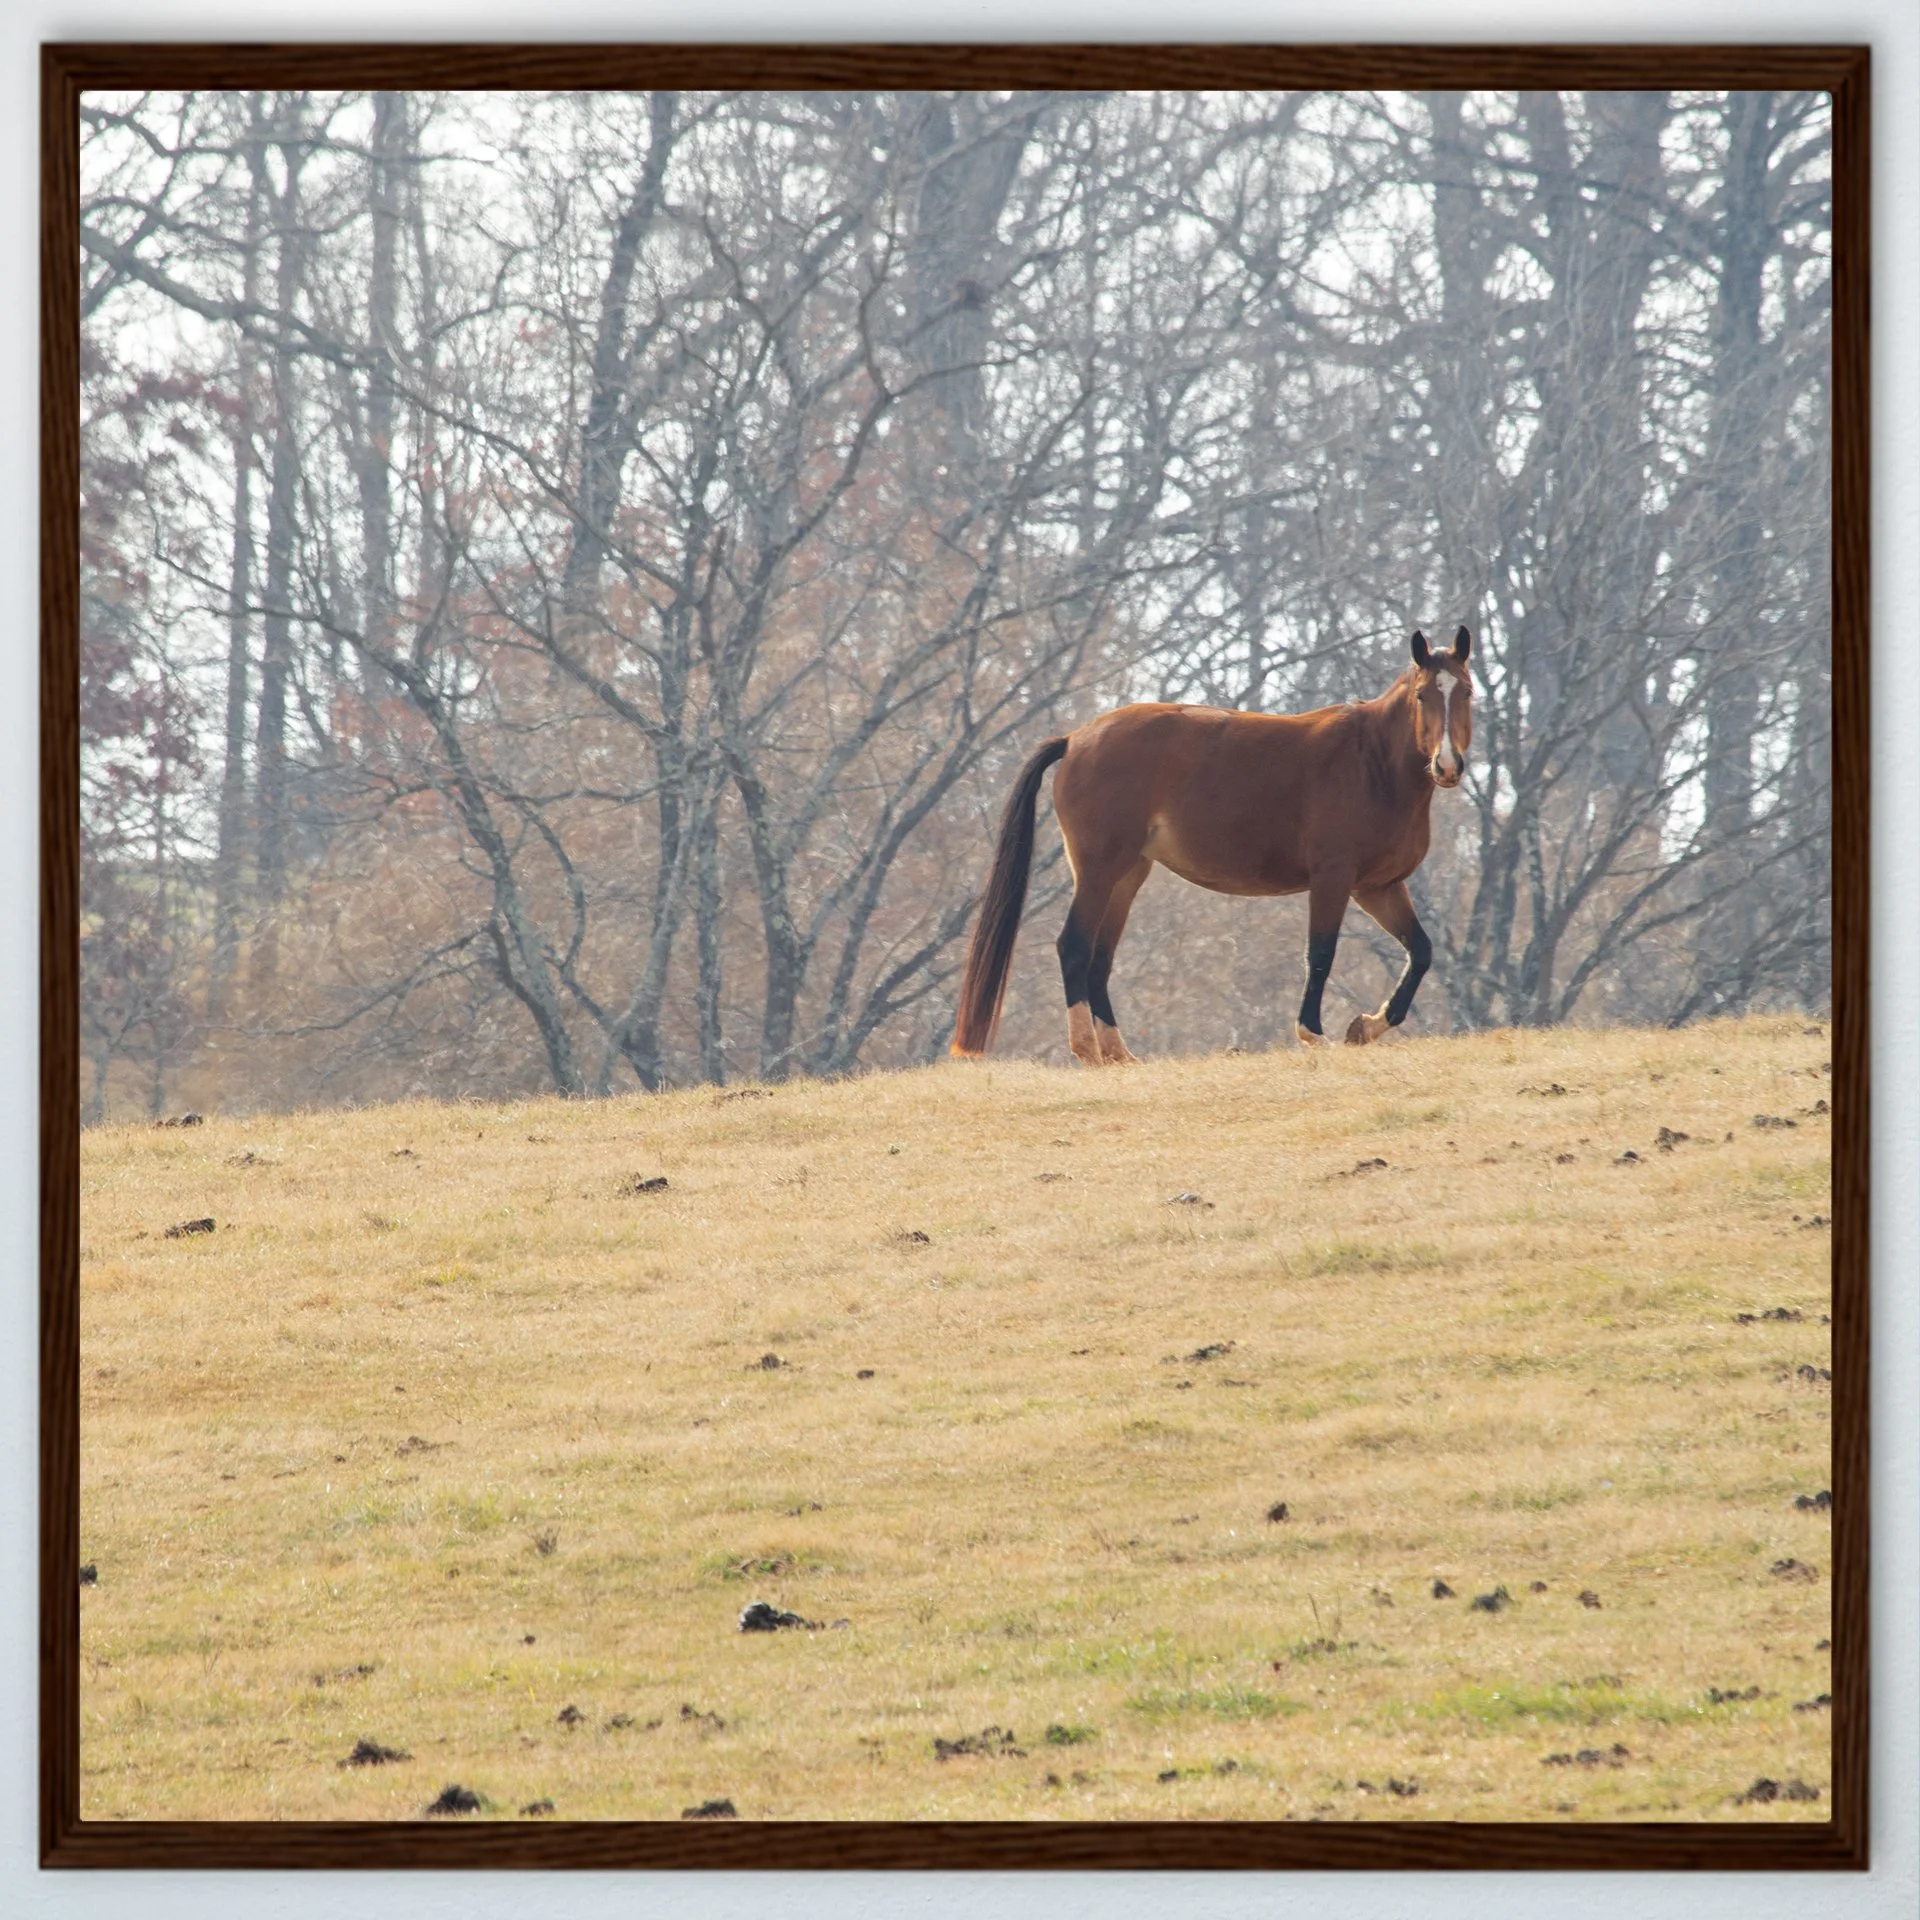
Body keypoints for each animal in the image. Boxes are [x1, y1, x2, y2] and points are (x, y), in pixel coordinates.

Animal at [950, 627, 1473, 1064]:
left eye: (1466, 692)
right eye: (1423, 694)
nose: (1448, 765)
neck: (1372, 763)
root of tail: (1076, 738)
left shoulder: (1378, 887)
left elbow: (1421, 951)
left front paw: (1365, 1026)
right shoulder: (1334, 879)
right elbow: (1321, 954)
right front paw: (1314, 1034)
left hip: (1127, 875)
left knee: (1100, 956)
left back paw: (1119, 1054)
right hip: (1099, 870)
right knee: (1074, 947)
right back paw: (1088, 1051)